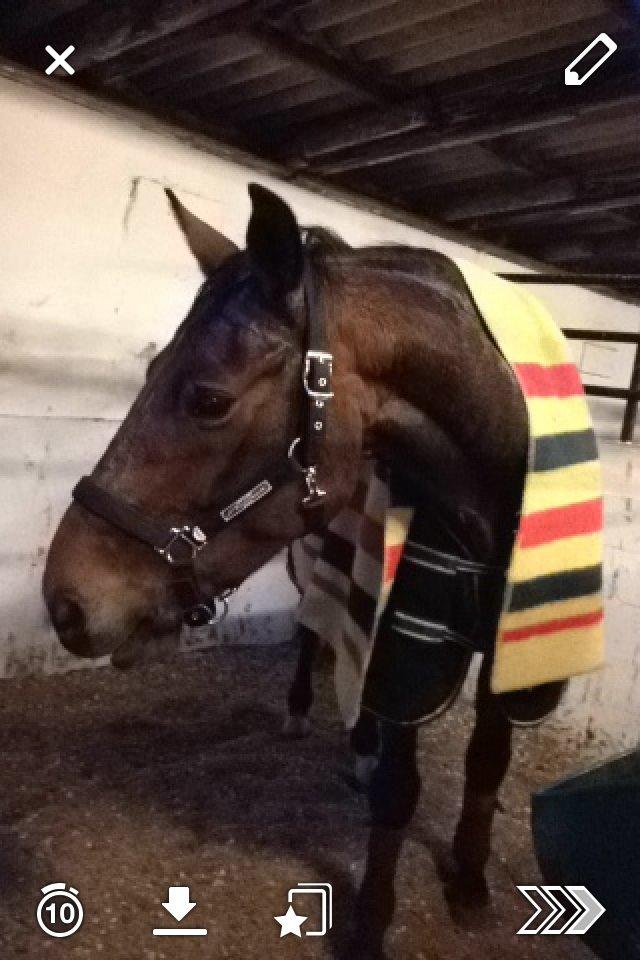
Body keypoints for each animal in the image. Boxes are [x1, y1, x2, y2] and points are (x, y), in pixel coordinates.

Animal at [44, 183, 566, 958]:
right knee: (311, 636)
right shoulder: (409, 646)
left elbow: (487, 764)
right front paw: (371, 922)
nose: (65, 601)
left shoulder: (519, 642)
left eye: (209, 400)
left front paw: (470, 886)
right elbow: (399, 791)